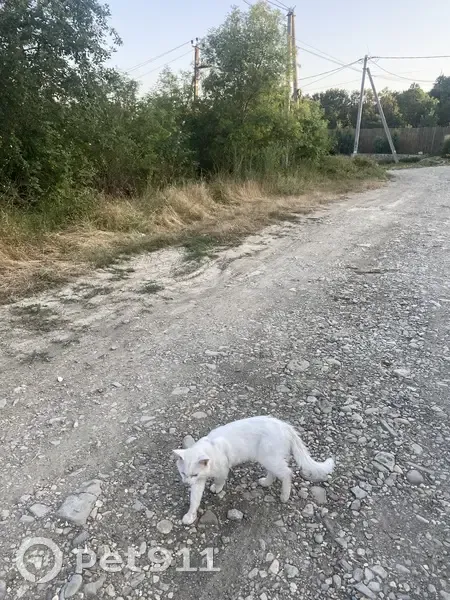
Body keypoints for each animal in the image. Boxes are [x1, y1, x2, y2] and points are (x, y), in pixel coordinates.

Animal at [173, 415, 335, 525]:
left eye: (194, 474)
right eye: (183, 473)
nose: (186, 483)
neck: (210, 448)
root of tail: (285, 426)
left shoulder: (222, 468)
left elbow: (220, 480)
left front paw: (216, 488)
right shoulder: (198, 482)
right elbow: (195, 499)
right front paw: (190, 515)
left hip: (269, 458)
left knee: (287, 473)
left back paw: (284, 495)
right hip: (268, 458)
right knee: (274, 473)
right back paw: (266, 482)